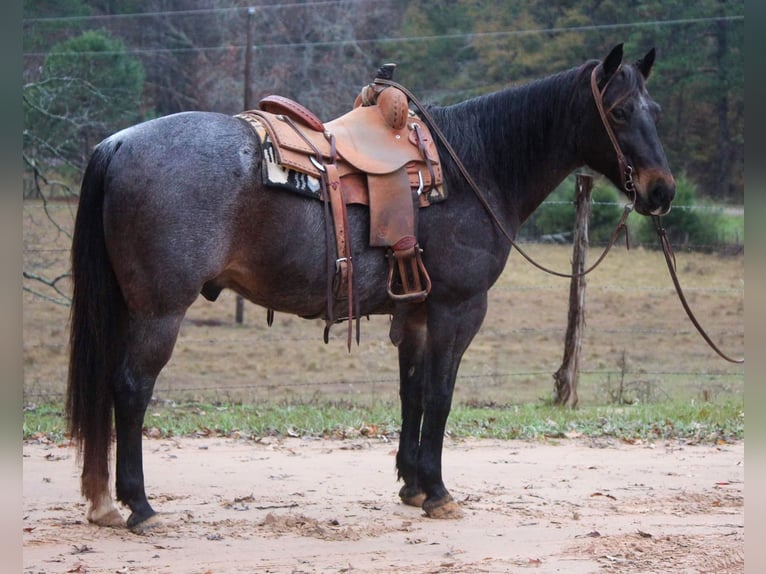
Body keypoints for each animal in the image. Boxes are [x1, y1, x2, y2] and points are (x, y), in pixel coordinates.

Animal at [67, 45, 680, 536]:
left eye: (655, 112)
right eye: (619, 111)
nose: (662, 190)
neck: (473, 167)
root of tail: (117, 144)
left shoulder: (415, 312)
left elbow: (412, 392)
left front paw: (412, 484)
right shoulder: (457, 309)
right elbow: (440, 394)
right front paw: (438, 491)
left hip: (127, 308)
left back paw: (103, 502)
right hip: (159, 311)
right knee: (131, 389)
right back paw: (139, 505)